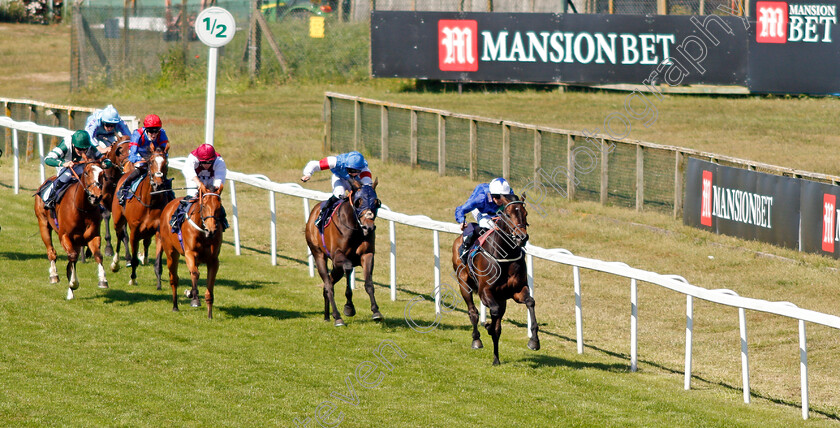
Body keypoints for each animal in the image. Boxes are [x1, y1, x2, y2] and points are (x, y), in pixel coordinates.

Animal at [33, 162, 109, 300]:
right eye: (86, 173)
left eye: (102, 174)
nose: (96, 196)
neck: (83, 209)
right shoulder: (64, 235)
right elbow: (72, 257)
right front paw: (73, 283)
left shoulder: (93, 236)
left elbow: (98, 255)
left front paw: (103, 280)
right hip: (43, 223)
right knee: (51, 252)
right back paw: (54, 275)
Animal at [110, 150, 171, 288]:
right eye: (151, 162)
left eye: (165, 163)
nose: (158, 184)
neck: (150, 201)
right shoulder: (134, 231)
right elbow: (133, 259)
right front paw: (132, 279)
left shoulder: (159, 231)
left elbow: (158, 261)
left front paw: (159, 283)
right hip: (118, 220)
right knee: (119, 236)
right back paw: (115, 263)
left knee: (146, 241)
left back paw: (145, 258)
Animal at [156, 188, 225, 318]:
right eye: (204, 205)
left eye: (219, 207)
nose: (211, 230)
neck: (203, 234)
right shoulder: (189, 253)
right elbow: (195, 273)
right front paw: (194, 299)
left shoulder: (213, 260)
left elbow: (209, 287)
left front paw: (209, 315)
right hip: (171, 253)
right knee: (174, 279)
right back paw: (175, 306)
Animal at [304, 179, 382, 326]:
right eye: (358, 202)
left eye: (376, 203)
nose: (368, 227)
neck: (355, 228)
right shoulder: (338, 256)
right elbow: (348, 268)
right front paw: (349, 307)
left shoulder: (367, 255)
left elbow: (369, 282)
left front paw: (376, 311)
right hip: (318, 254)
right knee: (328, 285)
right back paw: (337, 317)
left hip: (336, 268)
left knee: (328, 284)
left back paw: (327, 316)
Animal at [450, 194, 540, 364]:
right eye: (508, 214)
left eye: (525, 213)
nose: (522, 237)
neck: (505, 256)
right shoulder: (485, 291)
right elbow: (493, 314)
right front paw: (488, 327)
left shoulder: (517, 291)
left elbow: (530, 302)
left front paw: (534, 341)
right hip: (463, 283)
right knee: (473, 311)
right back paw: (477, 340)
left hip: (501, 297)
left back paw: (496, 358)